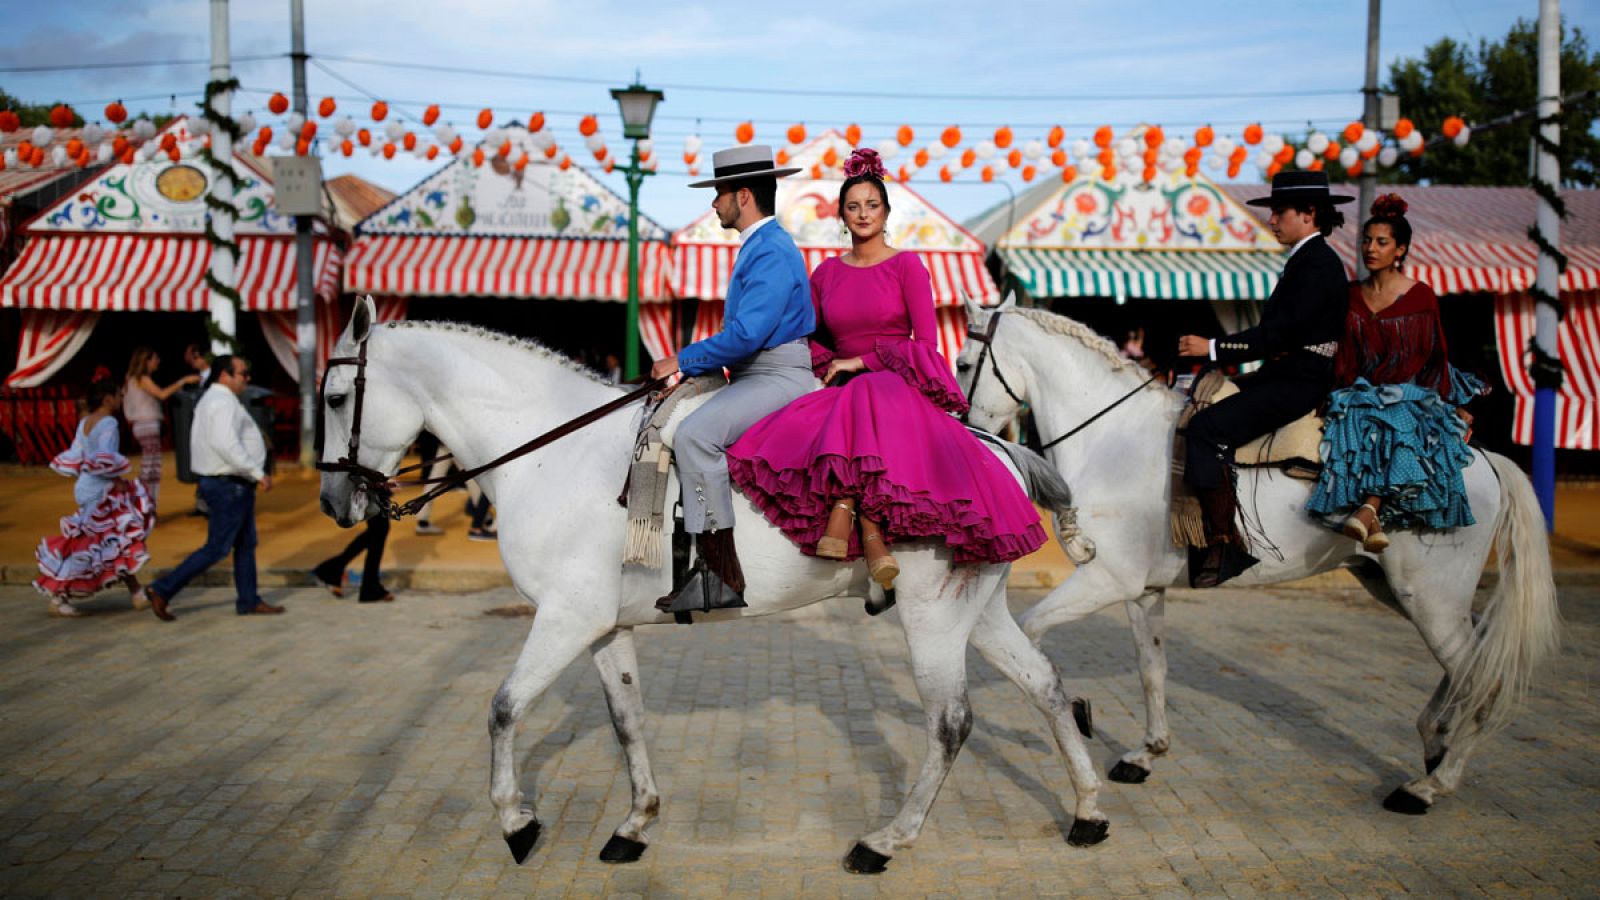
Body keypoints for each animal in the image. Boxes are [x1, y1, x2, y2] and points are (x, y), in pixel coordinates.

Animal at [316, 299, 1107, 871]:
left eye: (332, 398)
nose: (333, 503)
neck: (554, 452)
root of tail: (998, 447)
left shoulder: (564, 619)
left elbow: (504, 708)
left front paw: (515, 822)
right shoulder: (602, 626)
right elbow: (626, 720)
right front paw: (635, 822)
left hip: (931, 619)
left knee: (950, 723)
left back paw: (885, 840)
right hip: (980, 613)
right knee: (1044, 686)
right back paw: (1089, 810)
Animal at [953, 296, 1555, 813]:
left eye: (962, 362)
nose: (965, 432)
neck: (1114, 439)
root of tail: (1483, 457)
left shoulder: (1106, 581)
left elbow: (1032, 633)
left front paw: (1077, 712)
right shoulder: (1142, 591)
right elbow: (1152, 669)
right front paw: (1147, 752)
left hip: (1430, 599)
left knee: (1481, 676)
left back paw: (1431, 785)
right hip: (1401, 591)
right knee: (1472, 657)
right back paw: (1435, 738)